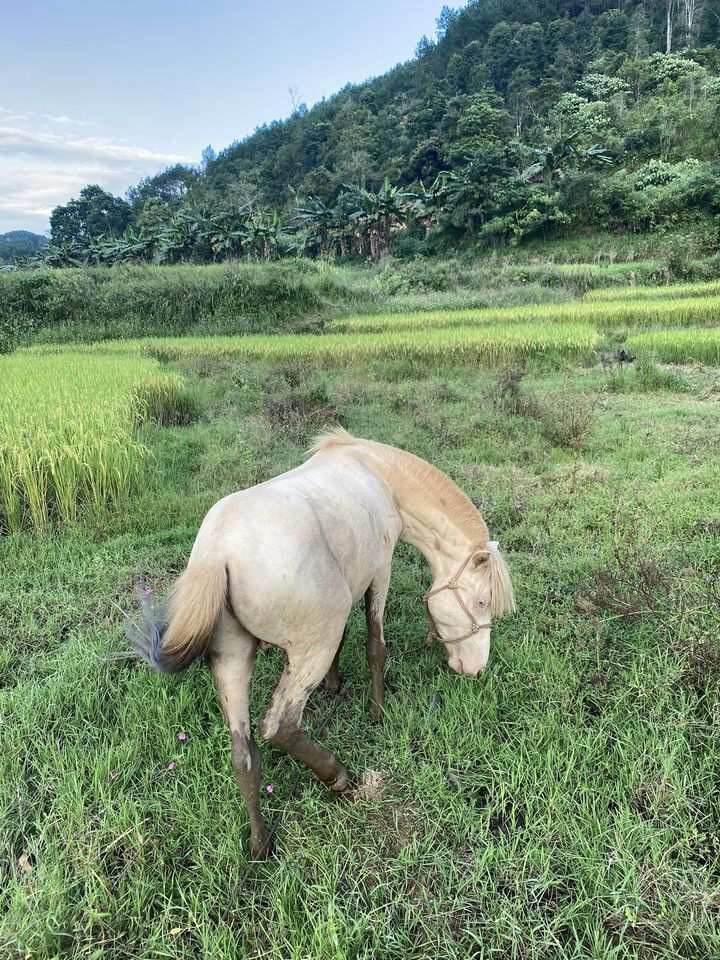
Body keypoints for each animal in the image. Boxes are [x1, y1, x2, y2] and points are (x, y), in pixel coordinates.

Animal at [126, 428, 516, 856]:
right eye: (481, 602)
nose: (476, 668)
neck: (377, 472)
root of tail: (217, 555)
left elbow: (347, 640)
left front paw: (334, 684)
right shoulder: (380, 573)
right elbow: (375, 648)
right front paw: (377, 711)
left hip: (231, 660)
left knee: (244, 755)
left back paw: (260, 844)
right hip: (307, 652)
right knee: (280, 727)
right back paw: (339, 778)